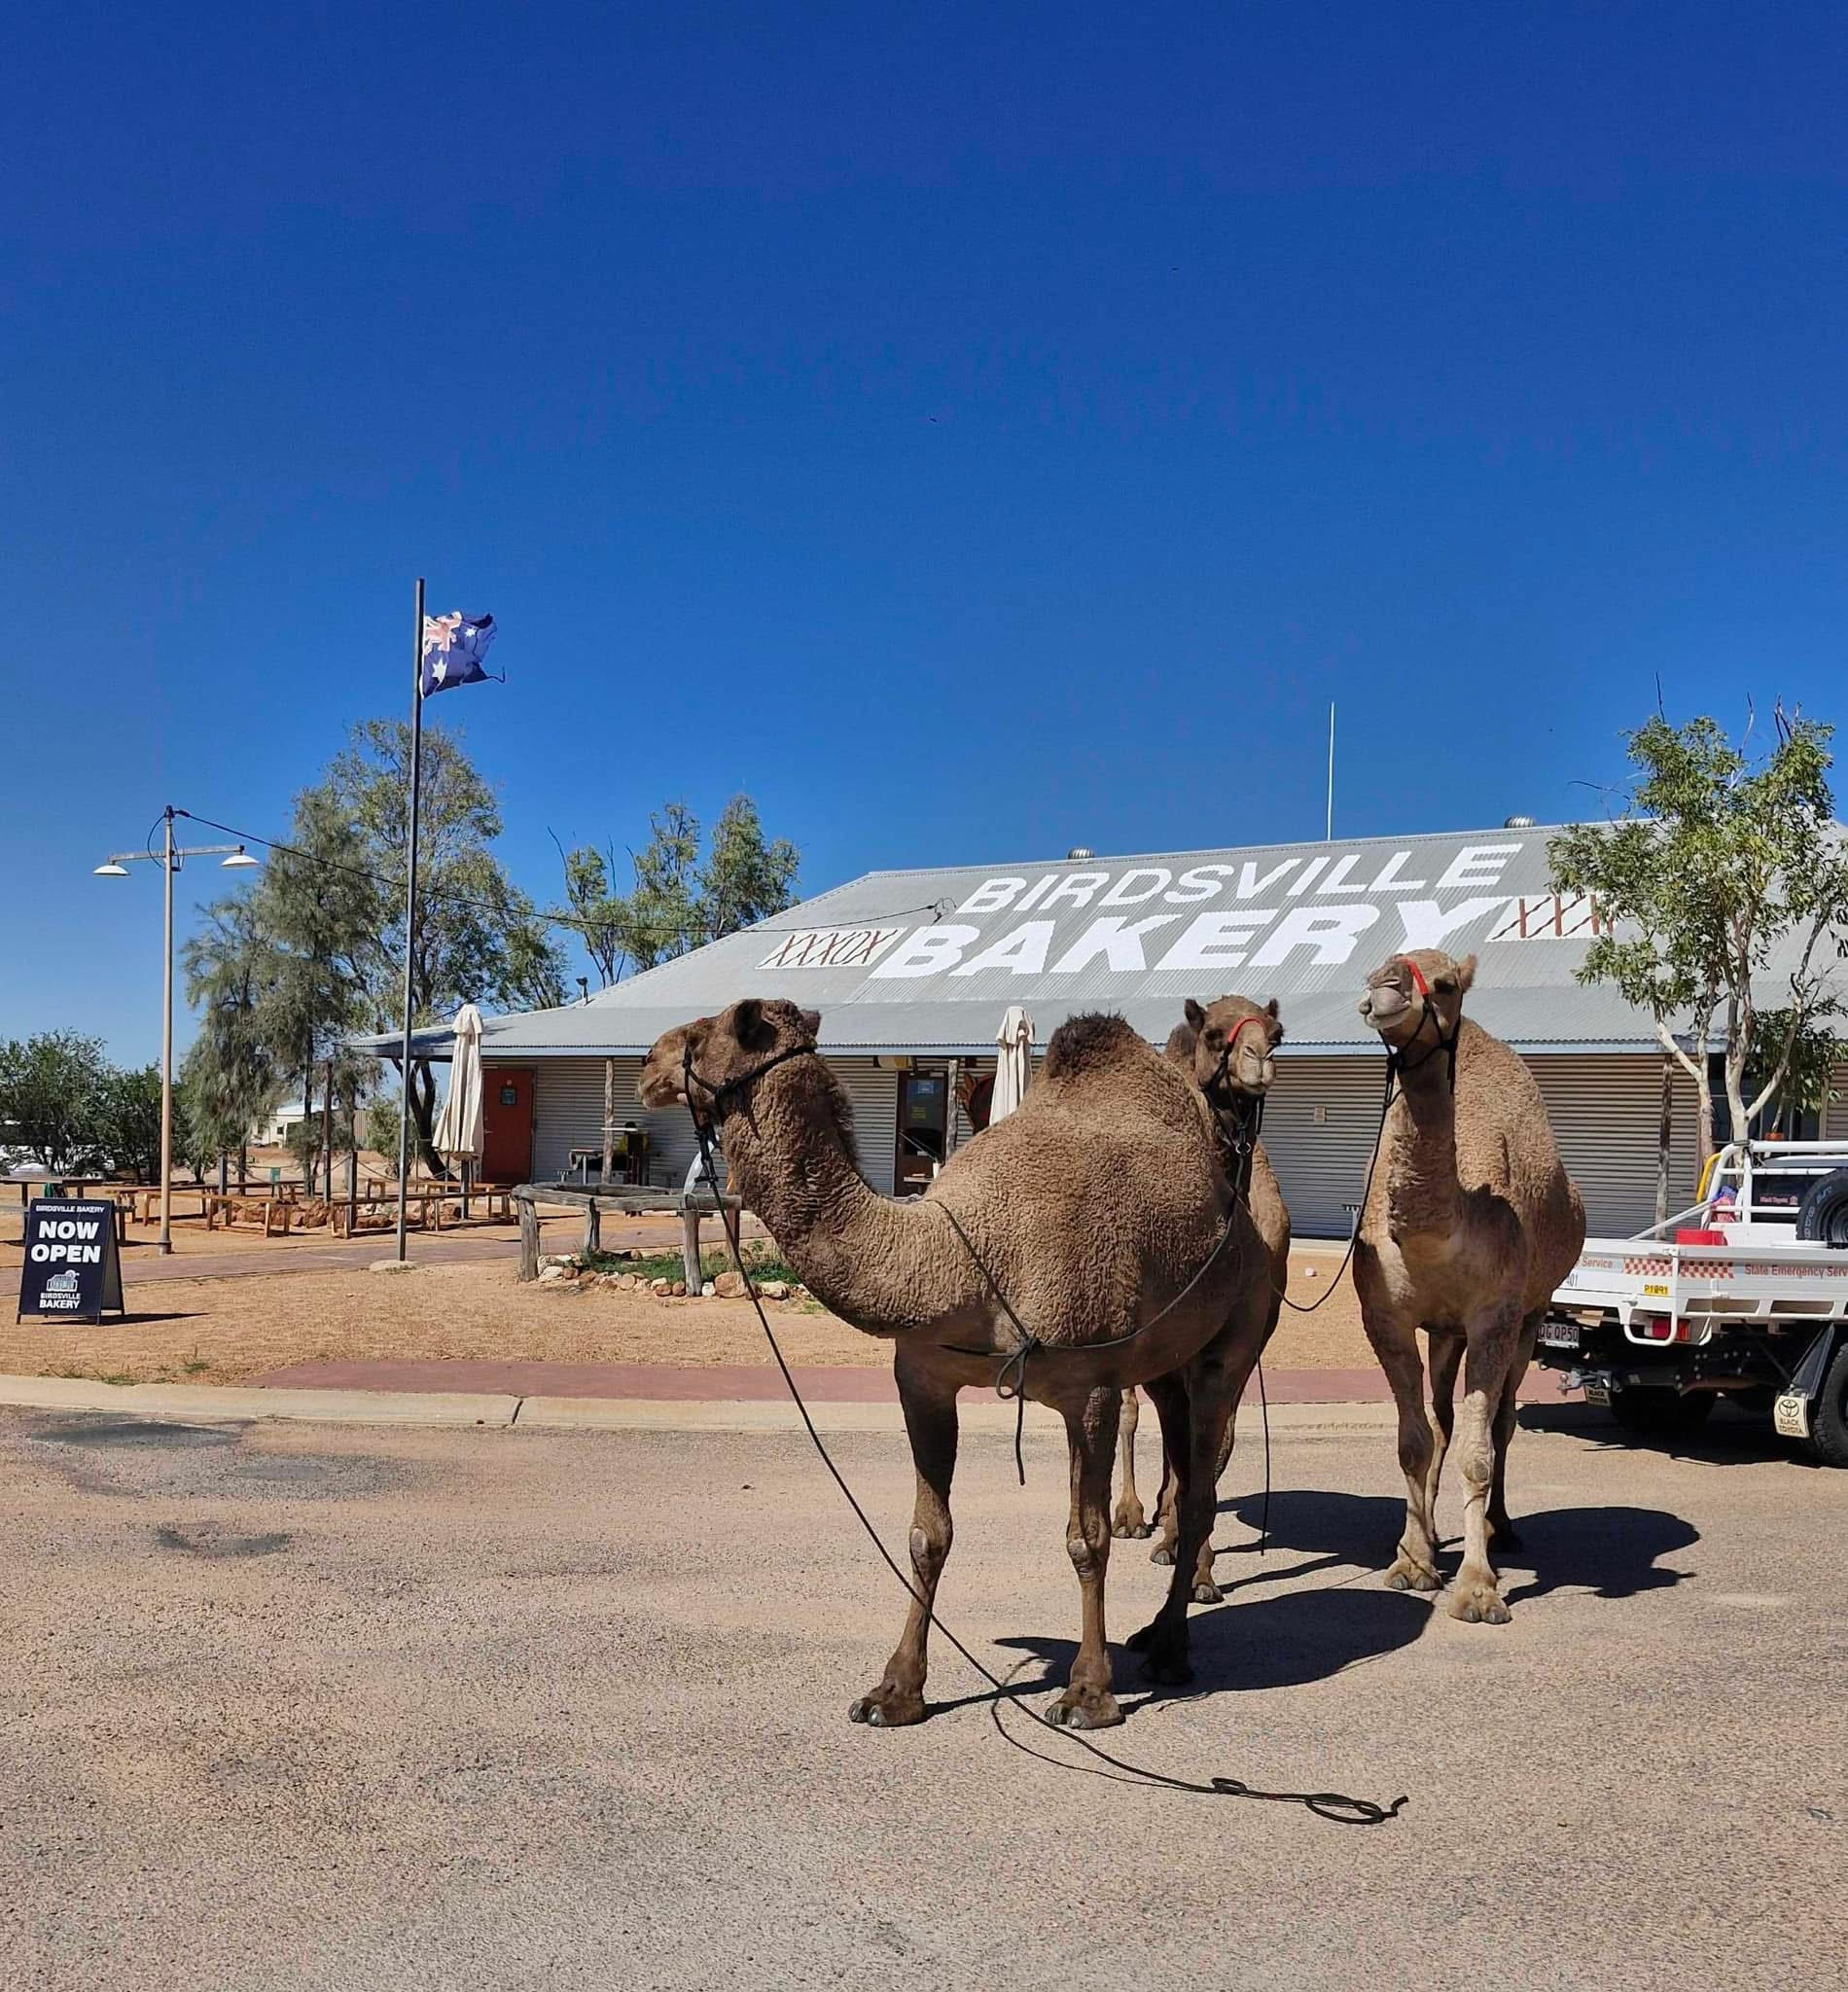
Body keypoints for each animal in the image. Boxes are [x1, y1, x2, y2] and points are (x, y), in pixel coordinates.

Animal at [1115, 996, 1290, 1601]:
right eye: (1214, 1033)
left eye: (1278, 1034)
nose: (1257, 1060)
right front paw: (1179, 1549)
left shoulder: (1243, 1346)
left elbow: (1215, 1446)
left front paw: (1202, 1571)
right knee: (1132, 1414)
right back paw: (1133, 1517)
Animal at [1354, 943, 1584, 1617]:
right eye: (1378, 965)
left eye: (1447, 984)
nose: (1385, 987)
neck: (1443, 1229)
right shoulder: (1387, 1316)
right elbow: (1415, 1441)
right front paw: (1411, 1561)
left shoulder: (1495, 1315)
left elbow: (1479, 1451)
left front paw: (1479, 1587)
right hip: (1443, 1331)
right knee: (1441, 1421)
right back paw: (1437, 1534)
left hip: (1531, 1314)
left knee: (1504, 1420)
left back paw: (1500, 1528)